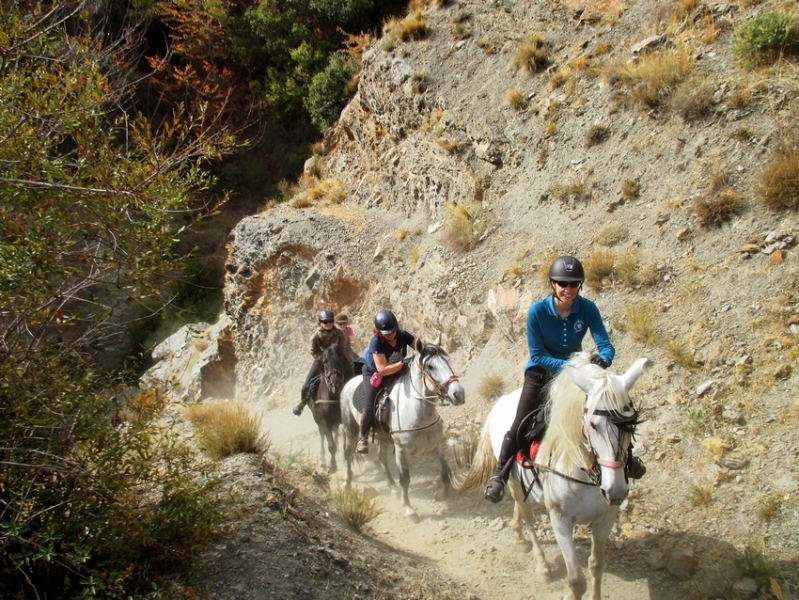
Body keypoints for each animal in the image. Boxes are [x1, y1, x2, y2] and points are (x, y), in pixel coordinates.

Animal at [306, 342, 350, 474]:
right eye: (324, 362)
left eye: (340, 358)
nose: (335, 383)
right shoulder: (324, 421)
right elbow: (331, 445)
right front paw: (332, 466)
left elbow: (345, 445)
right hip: (317, 419)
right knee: (321, 434)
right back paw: (322, 459)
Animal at [340, 336, 466, 516]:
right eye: (430, 366)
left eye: (448, 361)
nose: (458, 394)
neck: (419, 412)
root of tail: (349, 383)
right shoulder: (402, 450)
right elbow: (405, 479)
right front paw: (408, 508)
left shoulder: (435, 446)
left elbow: (445, 472)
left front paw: (441, 495)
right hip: (351, 429)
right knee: (348, 454)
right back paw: (347, 483)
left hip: (382, 437)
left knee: (382, 458)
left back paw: (392, 487)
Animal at [454, 352, 648, 600]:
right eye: (593, 425)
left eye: (631, 424)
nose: (615, 492)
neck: (586, 475)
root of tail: (501, 402)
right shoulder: (560, 521)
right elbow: (576, 581)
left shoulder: (605, 519)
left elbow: (596, 566)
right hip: (513, 480)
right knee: (528, 517)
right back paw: (542, 566)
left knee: (521, 508)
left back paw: (518, 537)